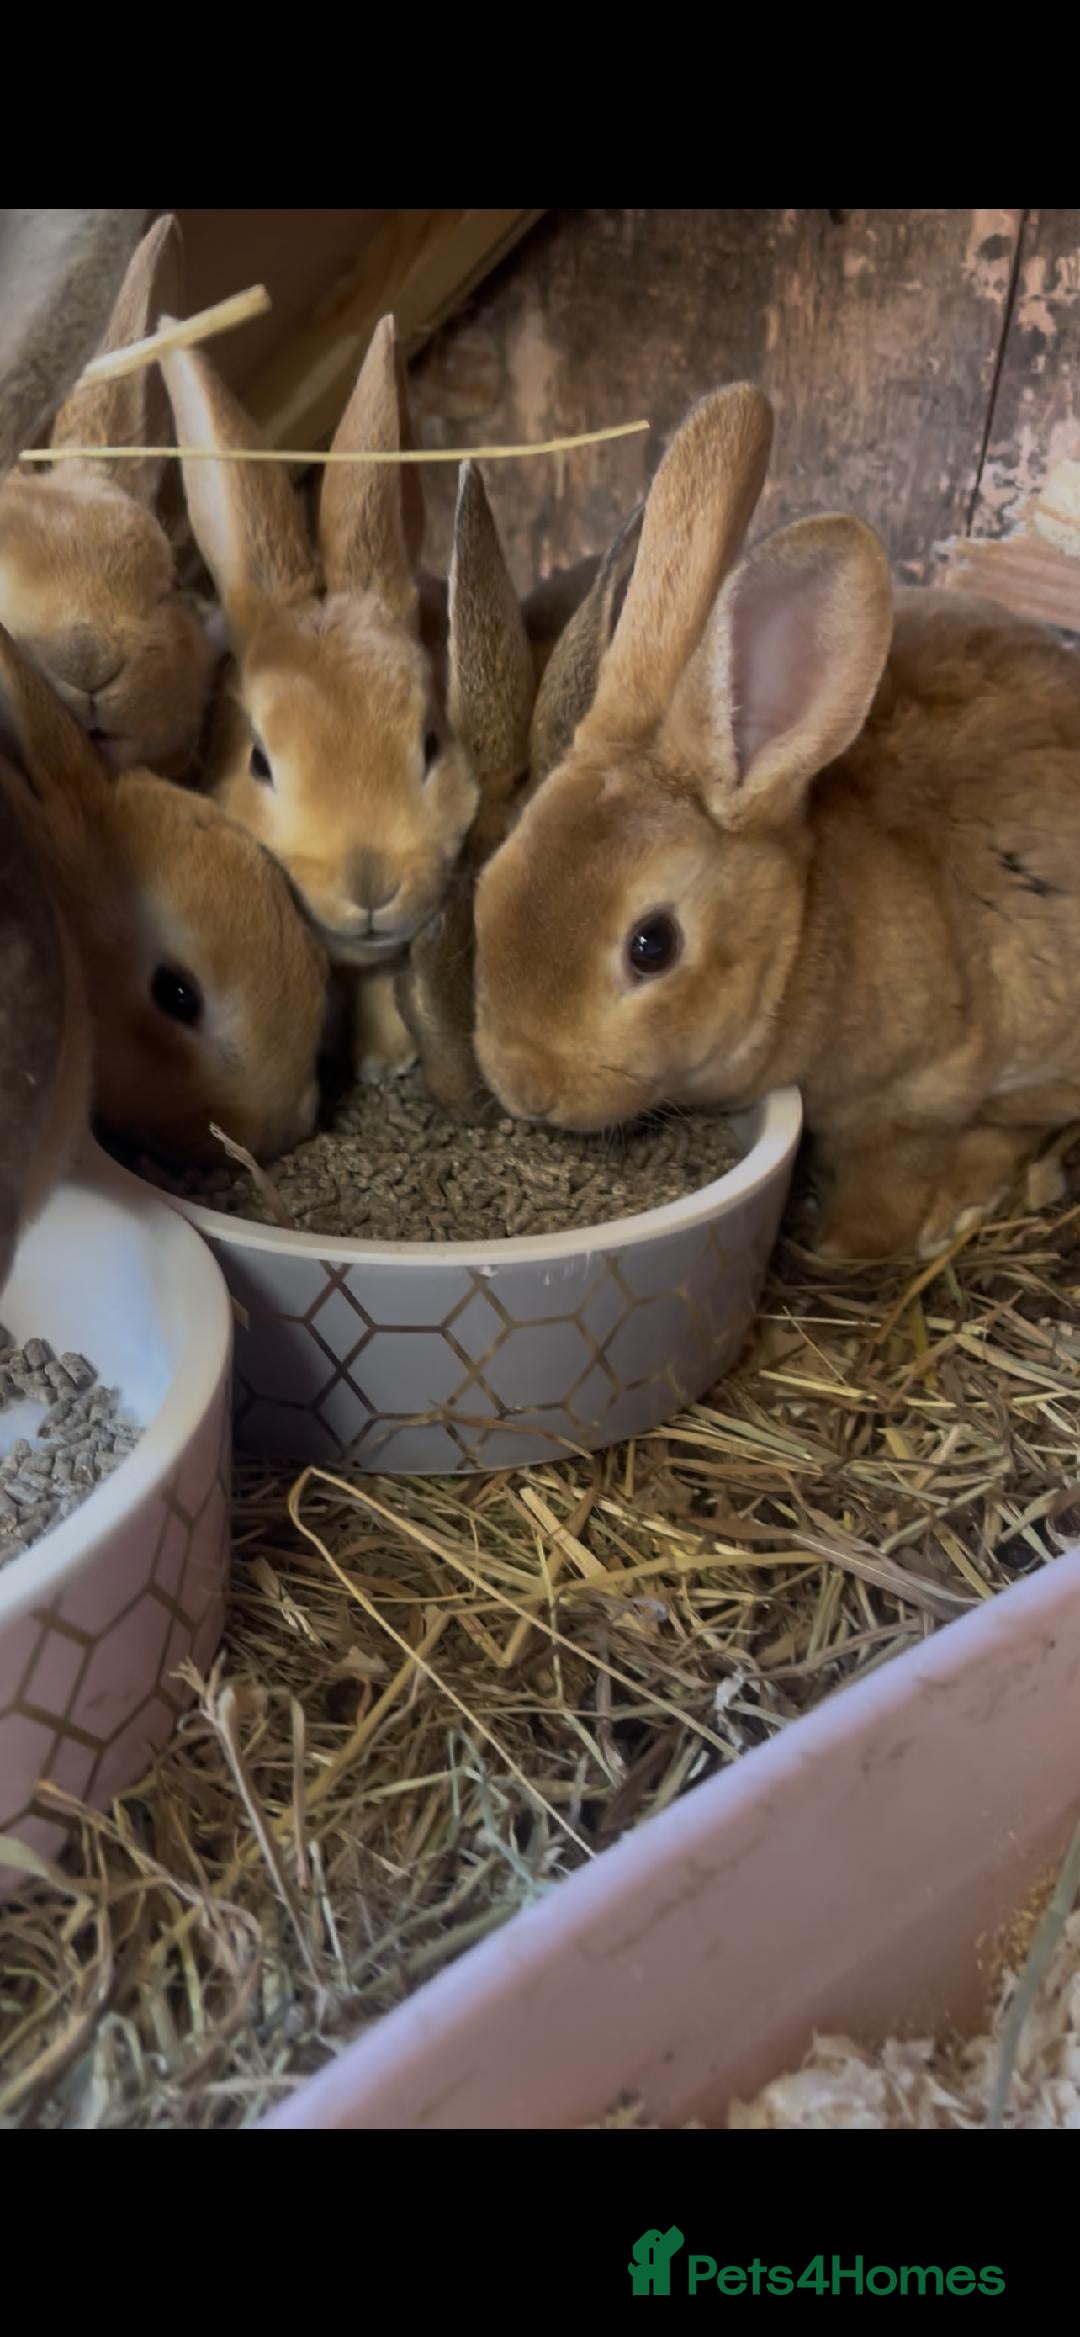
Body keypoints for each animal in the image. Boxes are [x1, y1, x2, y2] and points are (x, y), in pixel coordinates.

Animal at [471, 379, 1080, 1262]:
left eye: (652, 945)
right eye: (489, 885)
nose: (527, 1086)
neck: (807, 936)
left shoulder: (919, 1095)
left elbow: (893, 1171)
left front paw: (848, 1244)